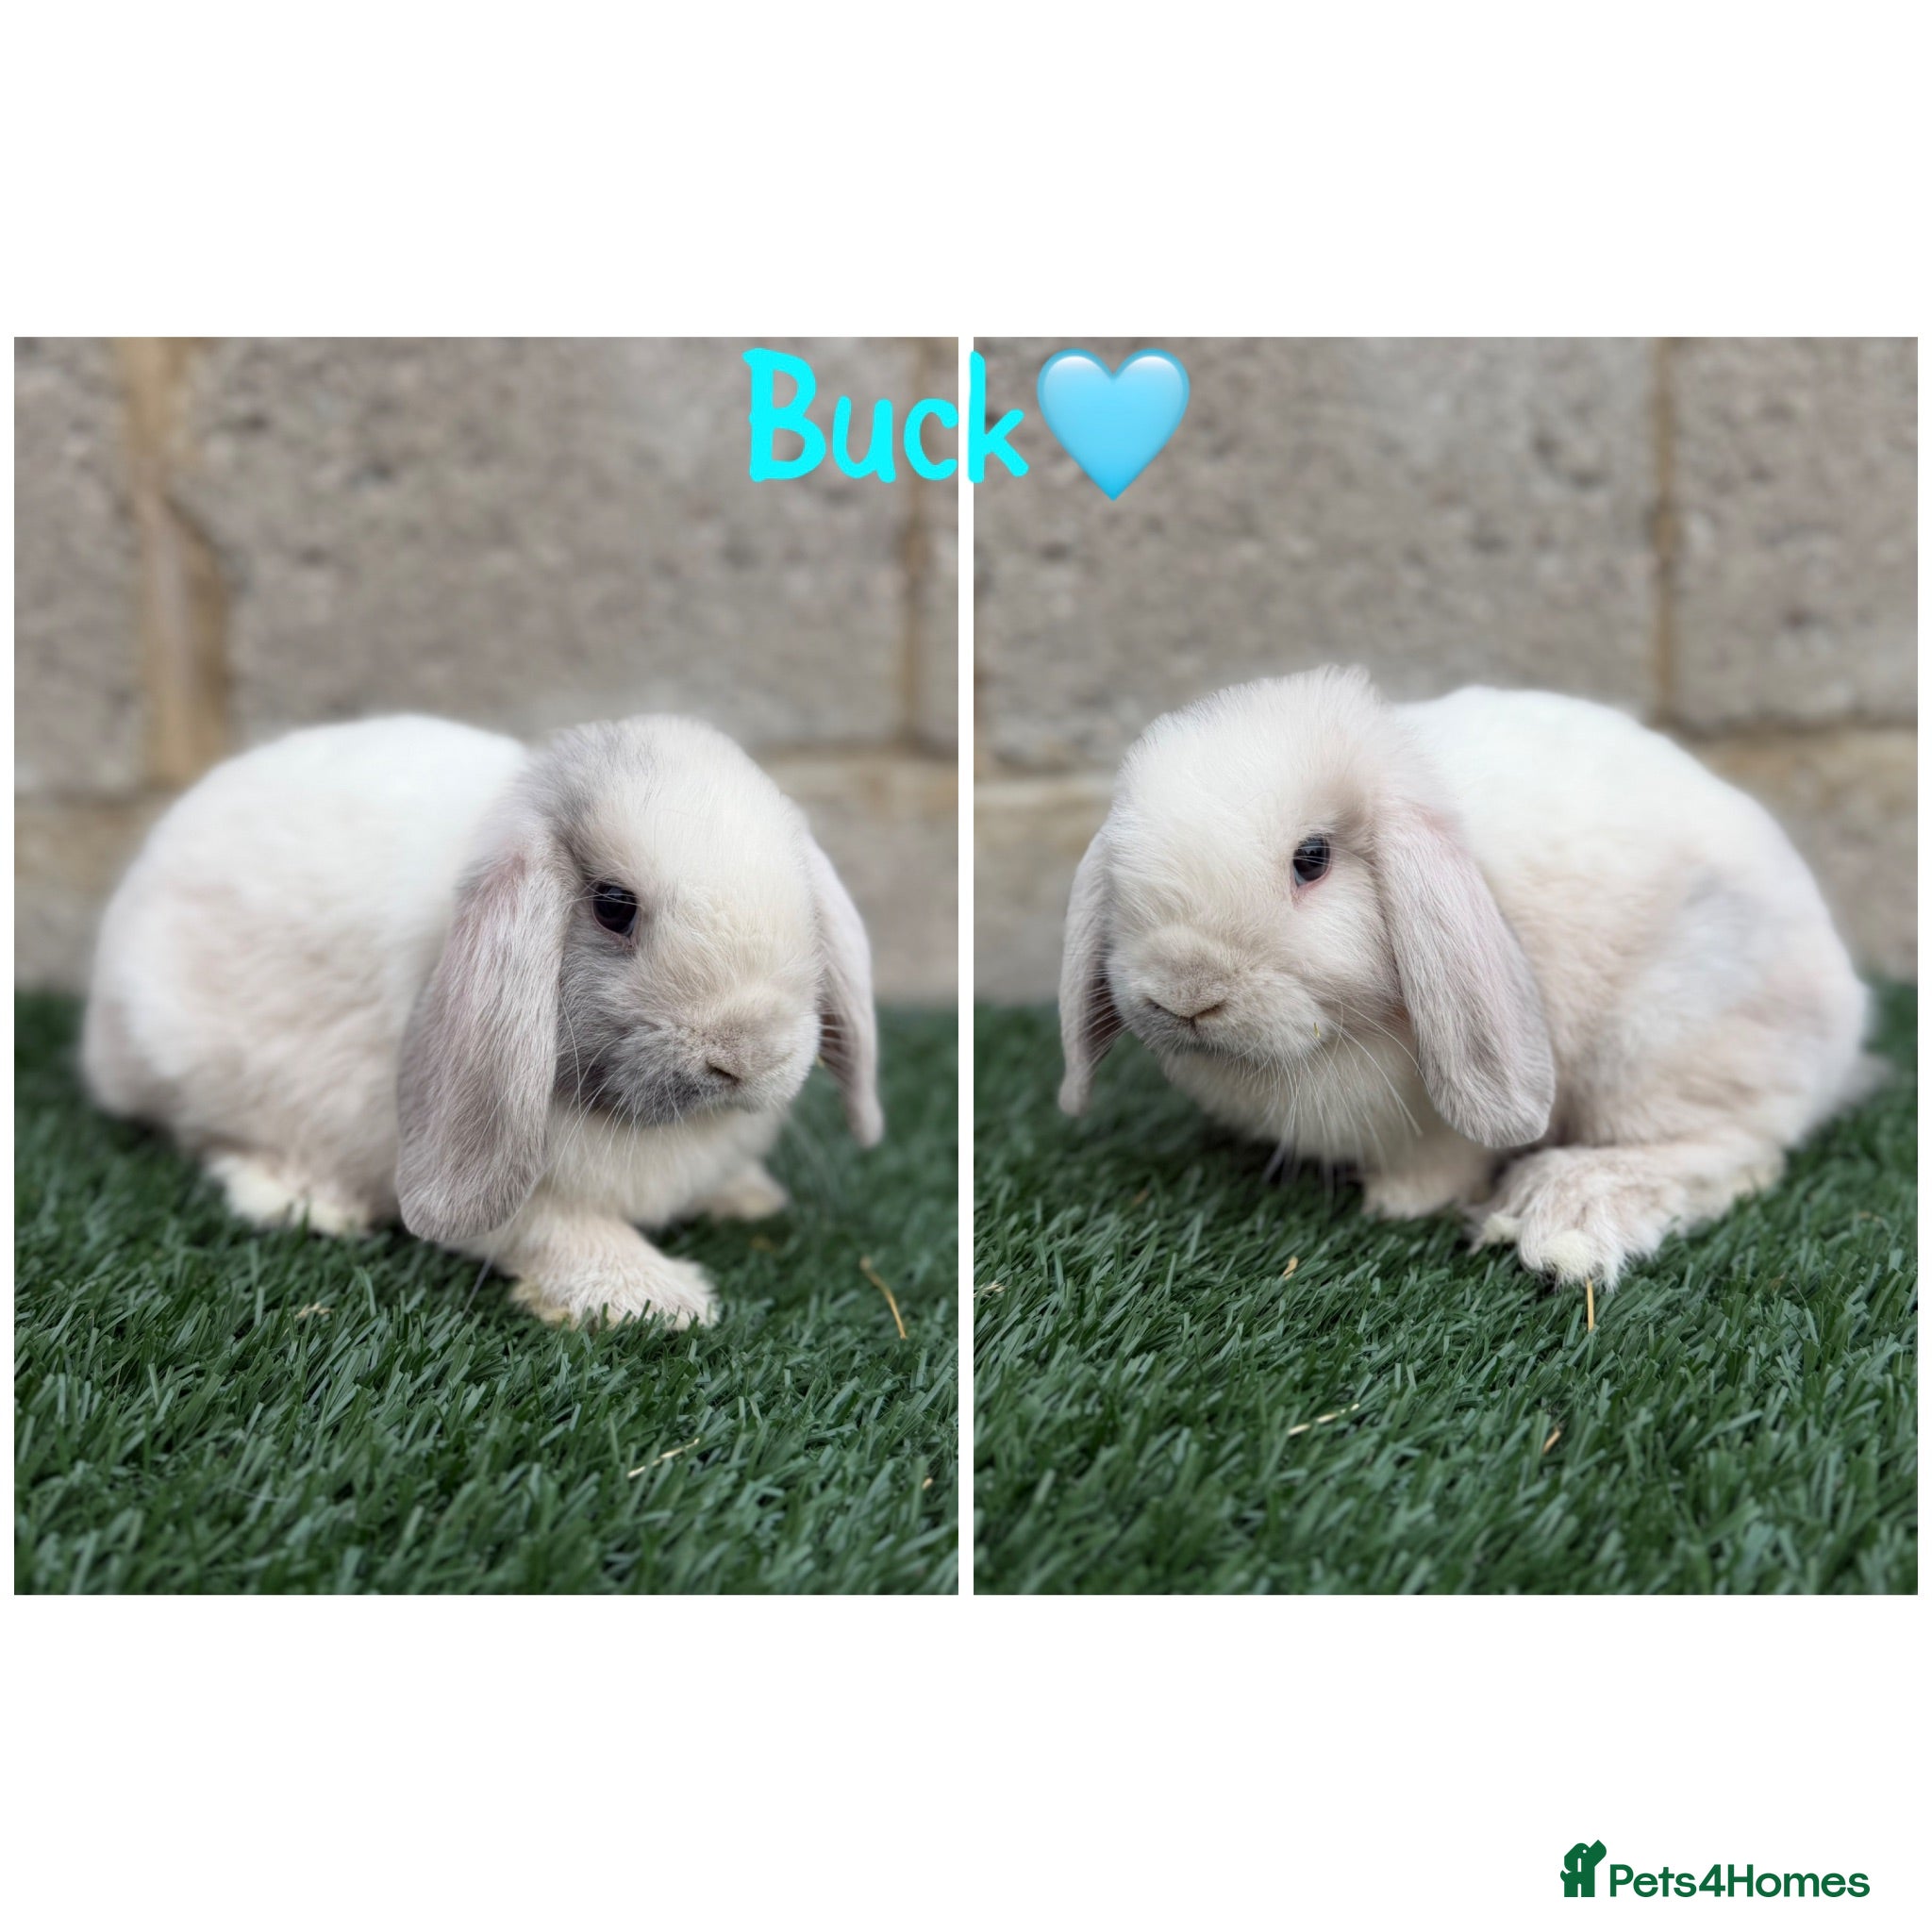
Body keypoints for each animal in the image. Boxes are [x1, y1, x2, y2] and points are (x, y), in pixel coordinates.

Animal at [83, 712, 882, 1328]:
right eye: (613, 905)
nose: (748, 1055)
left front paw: (746, 1196)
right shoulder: (497, 1186)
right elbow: (554, 1227)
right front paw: (655, 1299)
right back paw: (303, 1200)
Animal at [1058, 667, 1875, 1291]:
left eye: (1312, 859)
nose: (1184, 993)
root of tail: (1845, 1026)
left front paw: (1396, 1206)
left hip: (1665, 1044)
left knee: (1731, 1150)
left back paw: (1562, 1211)